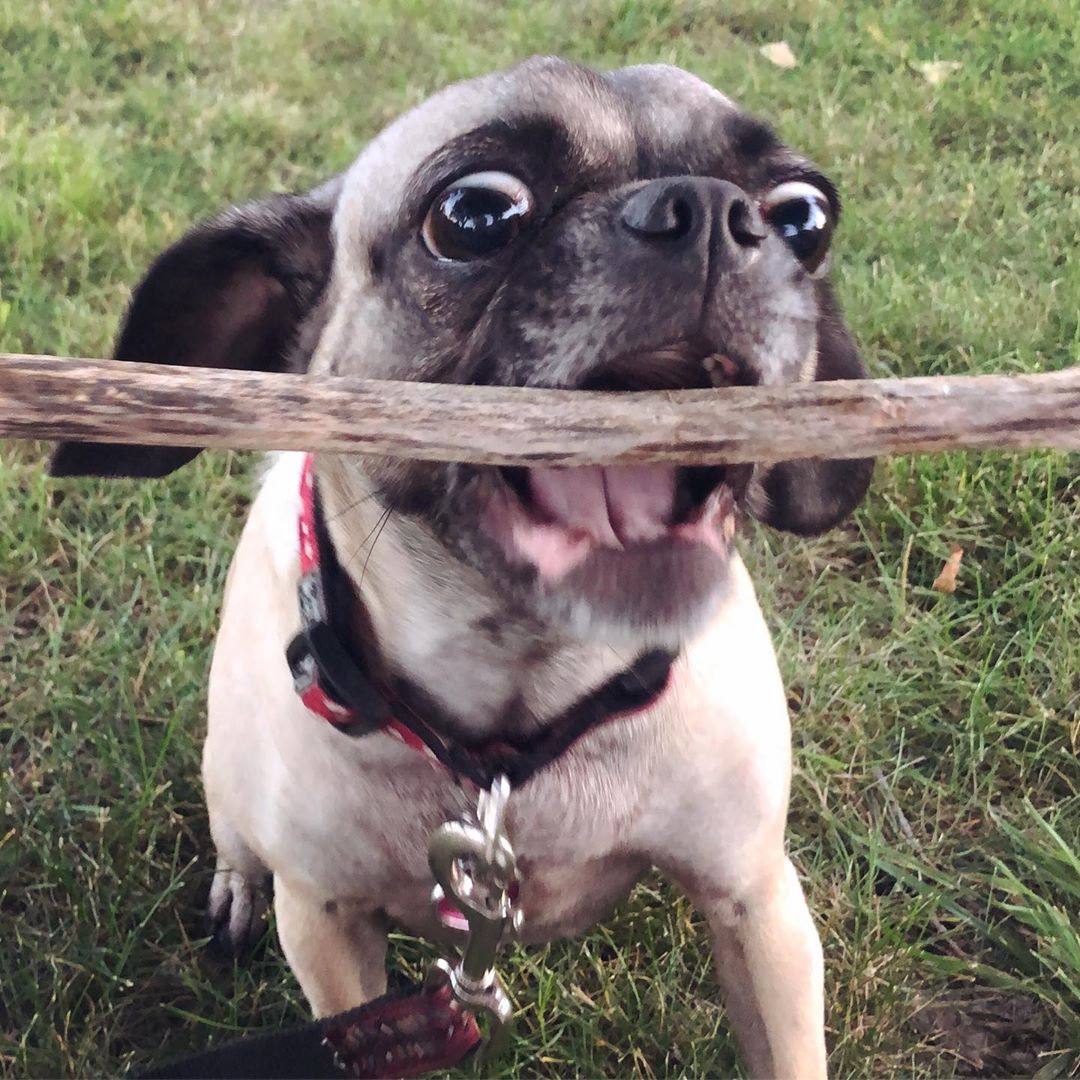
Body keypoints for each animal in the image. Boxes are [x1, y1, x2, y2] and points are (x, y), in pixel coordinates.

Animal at [52, 56, 876, 1071]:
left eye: (806, 215)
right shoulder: (329, 936)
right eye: (475, 213)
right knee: (235, 834)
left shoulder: (758, 908)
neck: (519, 723)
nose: (713, 210)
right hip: (230, 776)